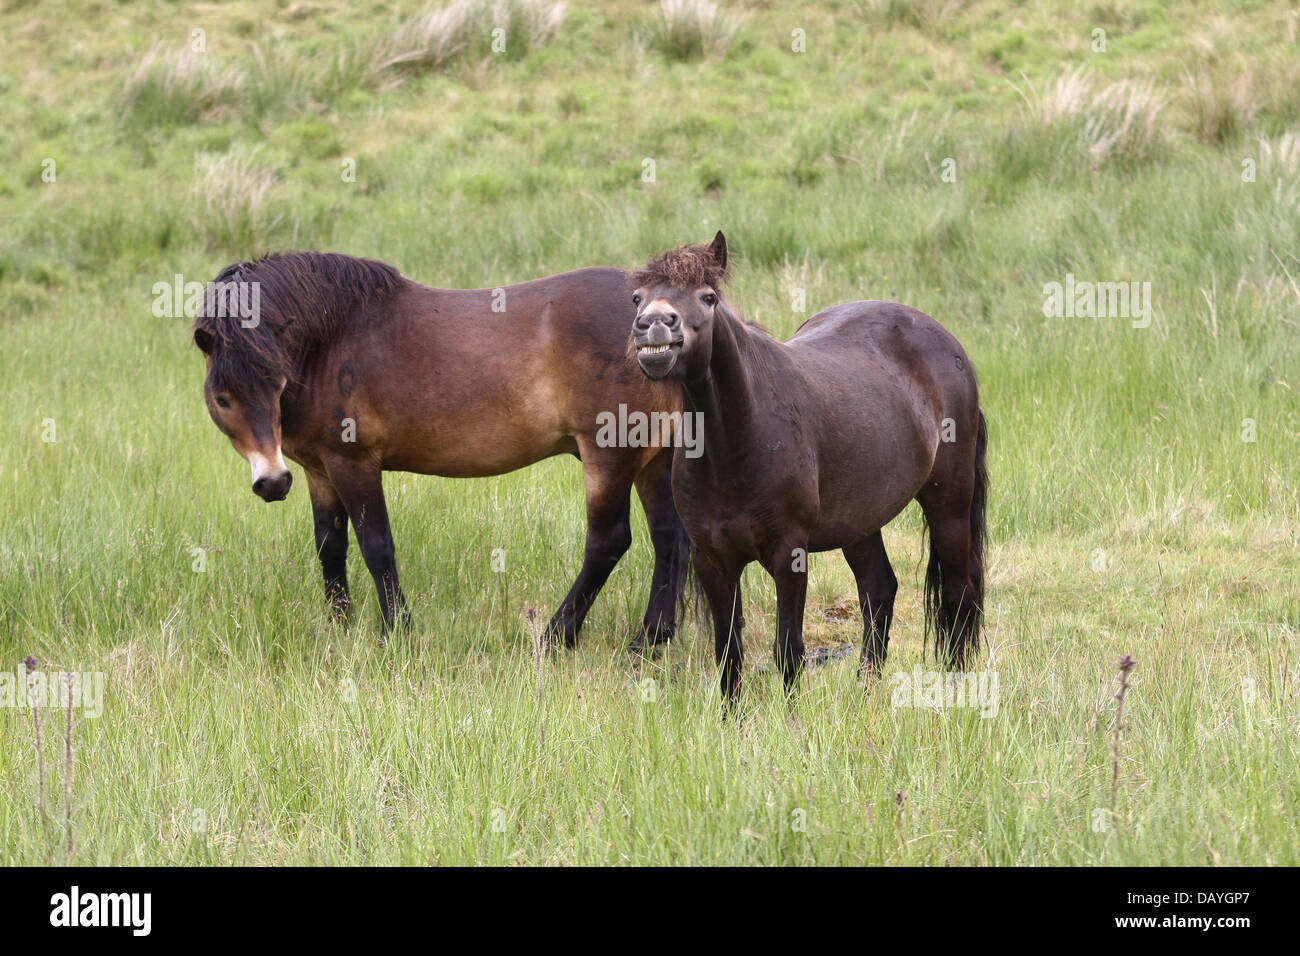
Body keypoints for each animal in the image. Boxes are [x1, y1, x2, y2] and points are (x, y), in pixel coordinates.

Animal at [192, 251, 691, 650]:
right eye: (224, 398)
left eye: (276, 383)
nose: (273, 482)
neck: (330, 343)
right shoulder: (320, 470)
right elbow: (330, 549)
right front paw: (340, 628)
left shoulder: (354, 464)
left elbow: (377, 547)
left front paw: (397, 632)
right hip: (653, 459)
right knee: (670, 537)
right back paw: (650, 640)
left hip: (610, 456)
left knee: (609, 541)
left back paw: (557, 635)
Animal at [626, 235, 982, 707]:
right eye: (637, 298)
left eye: (708, 298)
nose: (655, 326)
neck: (735, 444)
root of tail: (949, 344)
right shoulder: (711, 560)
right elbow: (728, 652)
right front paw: (731, 719)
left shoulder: (788, 554)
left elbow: (788, 650)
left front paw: (791, 720)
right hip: (859, 522)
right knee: (879, 591)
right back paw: (865, 693)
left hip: (949, 504)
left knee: (958, 595)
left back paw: (956, 691)